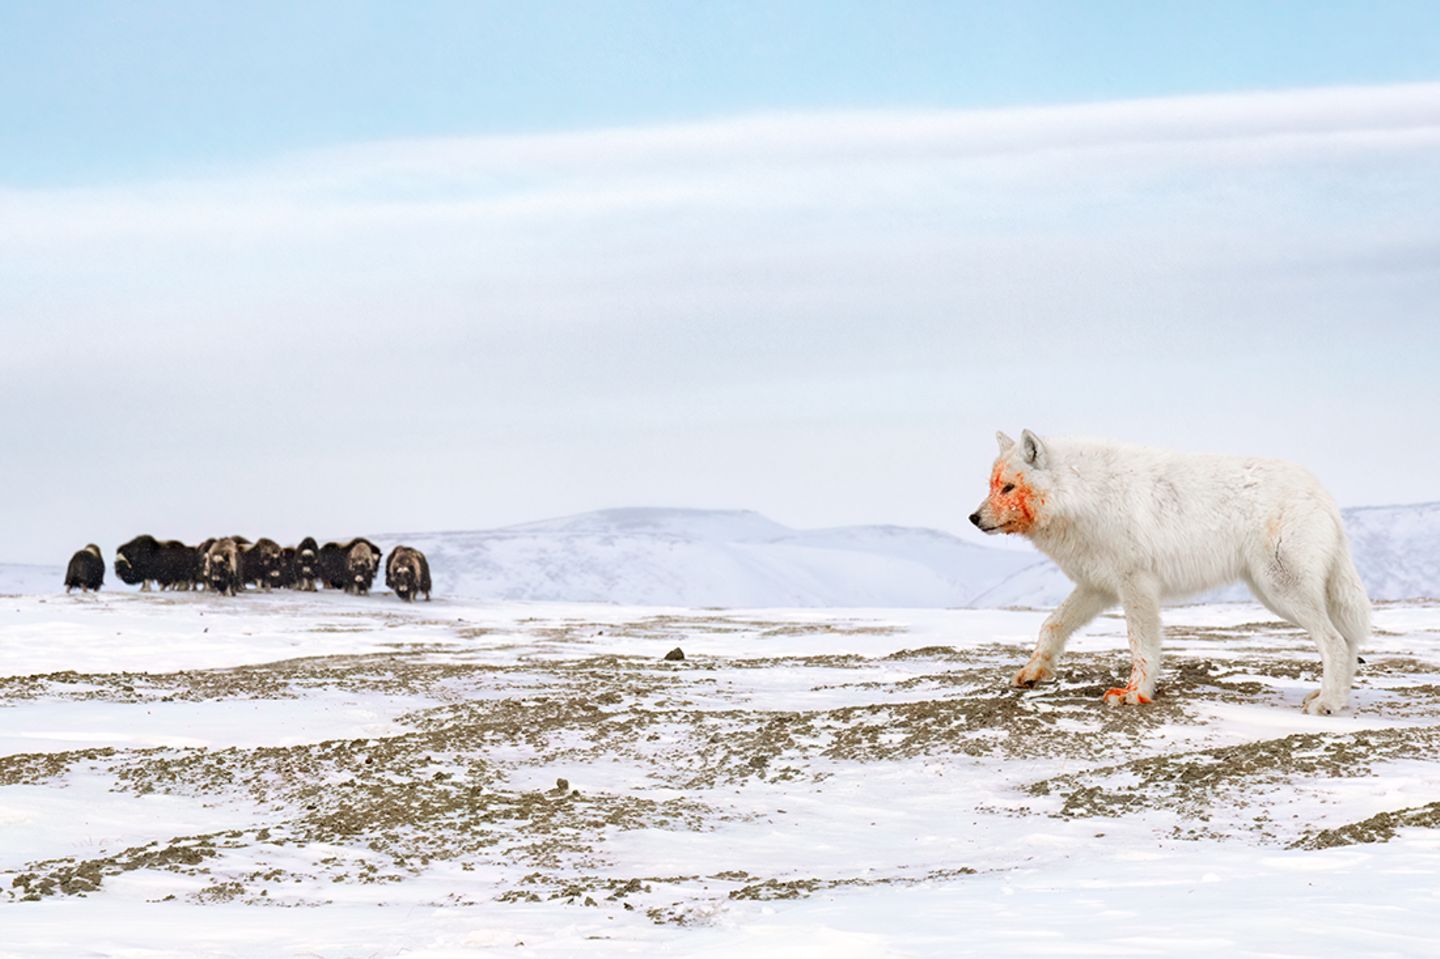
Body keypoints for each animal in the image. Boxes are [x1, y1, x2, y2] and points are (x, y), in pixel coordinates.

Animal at [970, 430, 1371, 714]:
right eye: (991, 486)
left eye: (1009, 487)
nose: (973, 518)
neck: (1085, 495)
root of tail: (1323, 494)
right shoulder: (1098, 586)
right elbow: (1051, 626)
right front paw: (1032, 673)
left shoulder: (1136, 584)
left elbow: (1141, 646)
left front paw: (1134, 694)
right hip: (1274, 593)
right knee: (1347, 642)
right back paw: (1336, 698)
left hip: (1281, 591)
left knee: (1334, 641)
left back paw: (1327, 703)